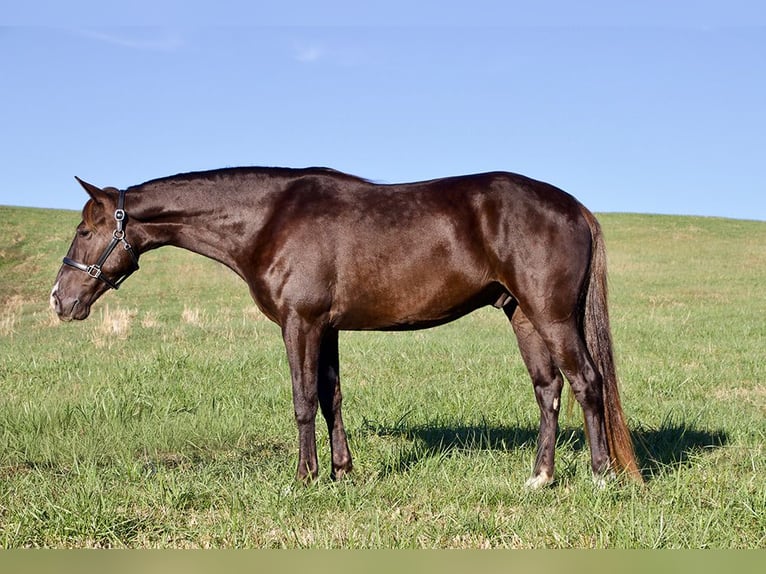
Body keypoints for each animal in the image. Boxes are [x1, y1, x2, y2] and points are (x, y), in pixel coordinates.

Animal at [50, 167, 642, 488]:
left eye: (85, 229)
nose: (60, 300)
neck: (269, 219)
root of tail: (574, 207)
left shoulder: (300, 324)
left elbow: (302, 399)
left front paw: (304, 477)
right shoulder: (326, 327)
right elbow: (331, 397)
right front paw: (341, 471)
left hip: (551, 316)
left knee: (588, 383)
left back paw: (600, 475)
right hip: (521, 314)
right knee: (548, 390)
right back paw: (539, 477)